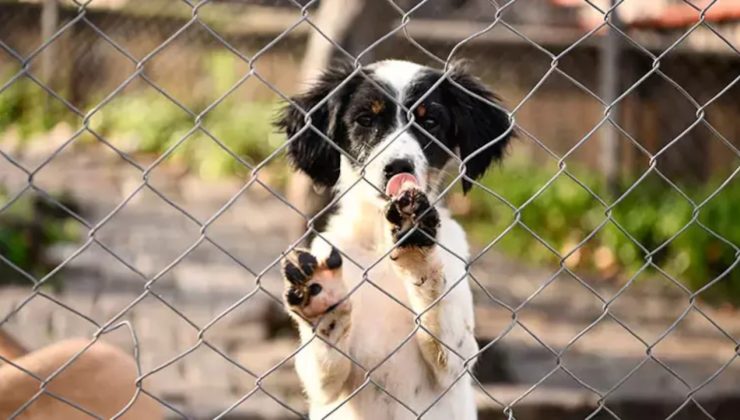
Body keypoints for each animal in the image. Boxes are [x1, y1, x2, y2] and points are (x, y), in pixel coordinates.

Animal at [274, 60, 512, 420]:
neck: (379, 243)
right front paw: (322, 298)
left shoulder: (458, 359)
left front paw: (417, 249)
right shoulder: (322, 386)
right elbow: (322, 359)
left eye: (429, 121)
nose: (399, 167)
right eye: (365, 119)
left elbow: (438, 301)